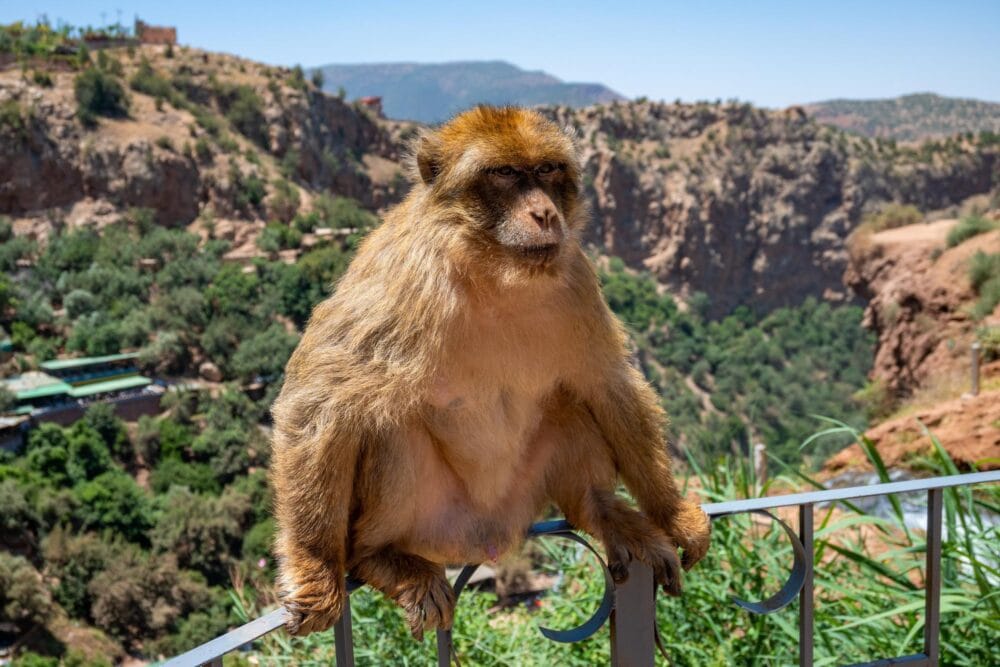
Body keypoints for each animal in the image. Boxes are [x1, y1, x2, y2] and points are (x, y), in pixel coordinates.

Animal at [270, 105, 711, 639]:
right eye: (504, 174)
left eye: (547, 170)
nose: (545, 213)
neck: (492, 268)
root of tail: (486, 538)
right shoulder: (401, 273)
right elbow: (321, 398)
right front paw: (315, 569)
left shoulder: (575, 277)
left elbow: (608, 384)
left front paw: (672, 515)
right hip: (434, 518)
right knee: (388, 423)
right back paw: (381, 556)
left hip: (524, 494)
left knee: (567, 407)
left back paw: (602, 510)